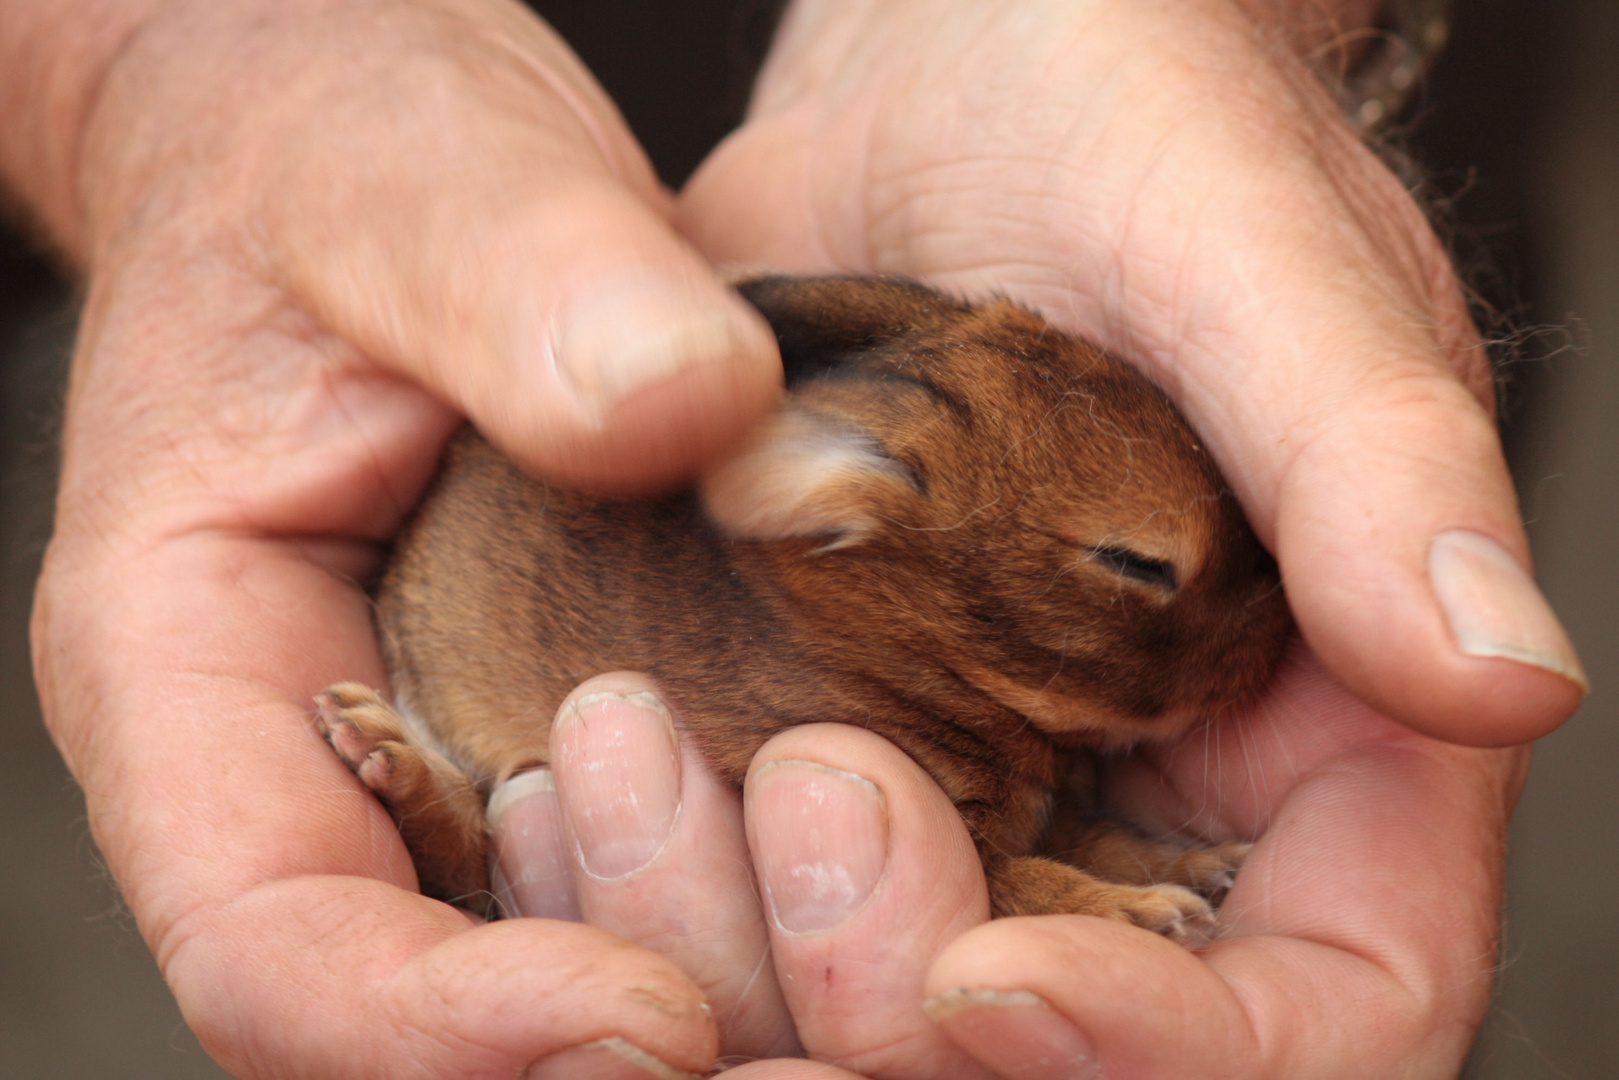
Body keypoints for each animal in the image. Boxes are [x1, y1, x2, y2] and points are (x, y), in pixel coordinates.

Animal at [322, 275, 1295, 939]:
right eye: (1134, 561)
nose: (1281, 631)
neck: (912, 649)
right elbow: (1020, 887)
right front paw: (1152, 915)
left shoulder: (1060, 810)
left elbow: (1106, 839)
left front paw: (1203, 869)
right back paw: (375, 744)